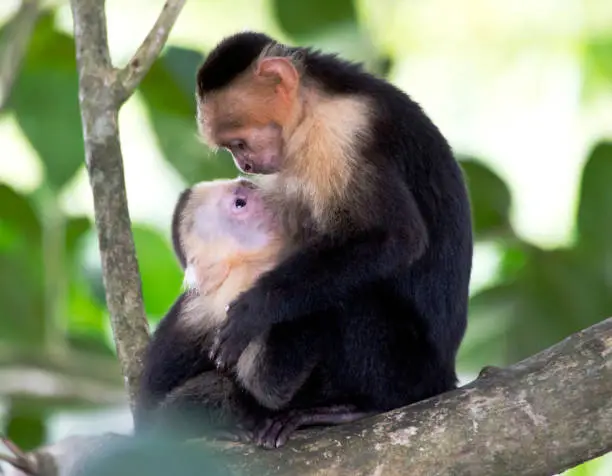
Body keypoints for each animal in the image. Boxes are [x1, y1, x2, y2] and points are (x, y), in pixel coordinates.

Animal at [194, 28, 470, 432]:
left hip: (408, 367)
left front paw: (257, 307)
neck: (313, 102)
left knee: (354, 296)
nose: (244, 163)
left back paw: (361, 407)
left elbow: (397, 238)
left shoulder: (342, 132)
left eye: (239, 143)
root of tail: (444, 376)